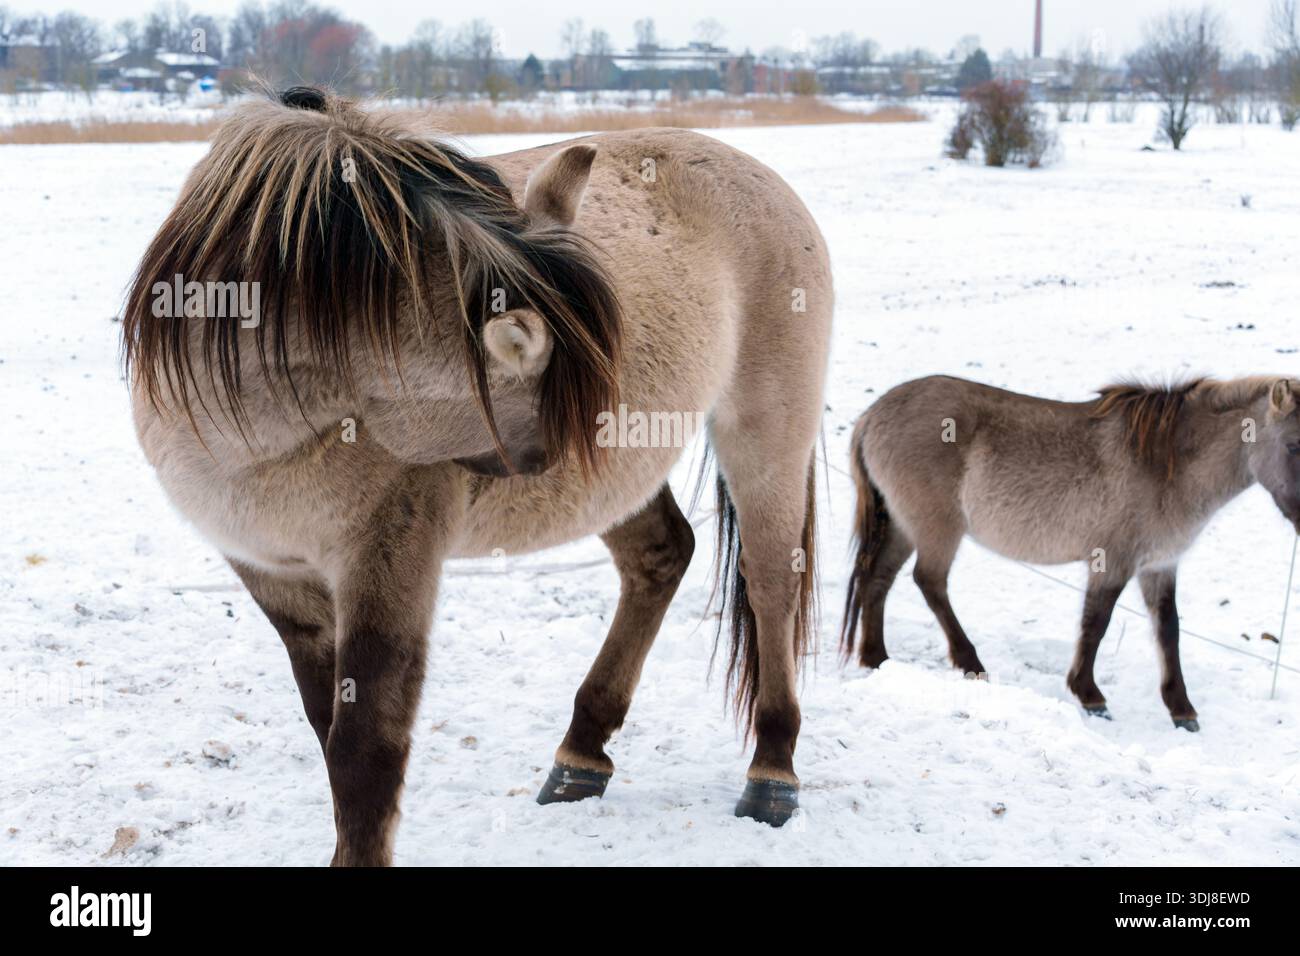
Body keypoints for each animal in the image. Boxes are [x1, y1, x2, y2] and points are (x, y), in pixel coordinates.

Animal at [122, 87, 832, 865]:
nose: (547, 461)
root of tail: (758, 174)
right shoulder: (271, 572)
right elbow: (326, 728)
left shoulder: (388, 562)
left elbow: (364, 751)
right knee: (661, 556)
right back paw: (581, 756)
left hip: (764, 433)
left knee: (771, 586)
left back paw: (773, 772)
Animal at [841, 375, 1300, 730]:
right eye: (1295, 446)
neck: (1167, 464)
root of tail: (870, 417)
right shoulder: (1113, 561)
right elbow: (1096, 623)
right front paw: (1090, 695)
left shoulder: (1160, 565)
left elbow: (1168, 630)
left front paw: (1181, 709)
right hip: (937, 529)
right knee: (929, 582)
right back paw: (970, 663)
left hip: (903, 526)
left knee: (877, 578)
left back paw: (876, 659)